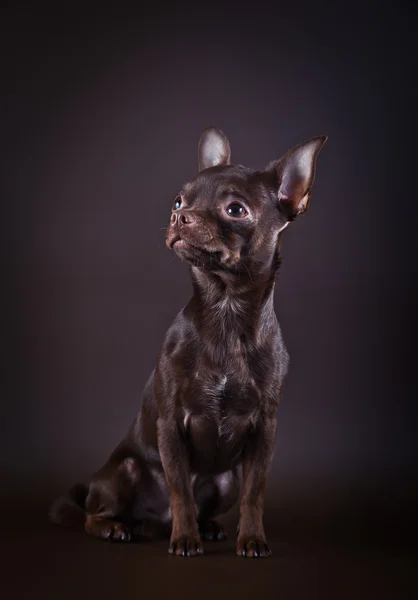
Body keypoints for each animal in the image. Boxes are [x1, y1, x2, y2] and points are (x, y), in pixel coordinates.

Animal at [50, 125, 326, 556]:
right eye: (179, 200)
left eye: (235, 210)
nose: (179, 215)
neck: (225, 310)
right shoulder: (171, 427)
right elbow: (180, 489)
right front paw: (184, 540)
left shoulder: (264, 431)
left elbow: (255, 492)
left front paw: (252, 538)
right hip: (123, 472)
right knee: (94, 513)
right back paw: (120, 528)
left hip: (225, 480)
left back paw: (205, 526)